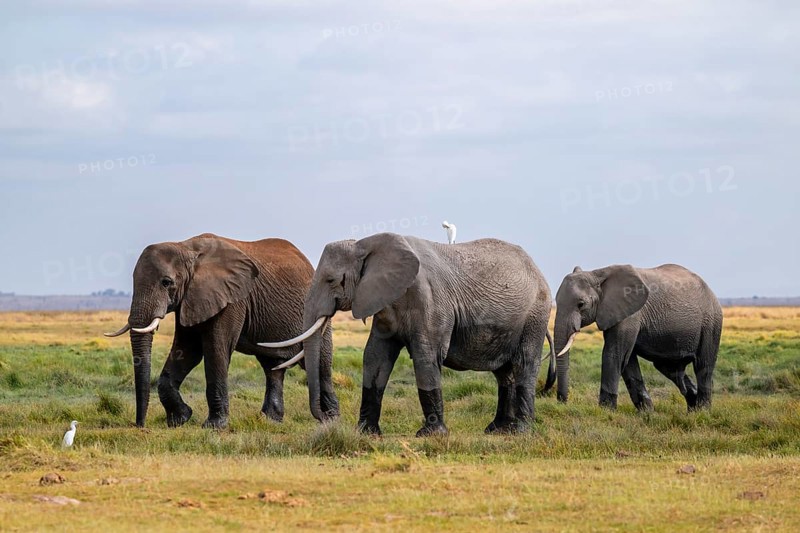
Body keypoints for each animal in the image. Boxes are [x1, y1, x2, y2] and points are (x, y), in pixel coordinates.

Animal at [104, 233, 338, 428]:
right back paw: (271, 421)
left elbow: (216, 350)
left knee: (319, 365)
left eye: (166, 282)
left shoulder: (232, 299)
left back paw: (331, 420)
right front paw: (180, 419)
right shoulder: (191, 298)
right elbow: (187, 350)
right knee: (273, 367)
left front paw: (214, 426)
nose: (139, 425)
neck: (186, 247)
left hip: (319, 315)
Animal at [261, 233, 555, 436]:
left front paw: (430, 435)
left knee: (524, 364)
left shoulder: (429, 299)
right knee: (503, 373)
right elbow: (375, 357)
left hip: (535, 314)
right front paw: (366, 433)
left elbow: (426, 357)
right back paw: (496, 430)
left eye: (332, 280)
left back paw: (520, 432)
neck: (366, 244)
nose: (326, 418)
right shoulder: (382, 301)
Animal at [544, 264, 722, 411]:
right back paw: (692, 409)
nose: (562, 401)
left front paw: (605, 411)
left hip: (711, 323)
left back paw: (703, 412)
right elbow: (627, 360)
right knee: (668, 368)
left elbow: (614, 354)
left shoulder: (631, 315)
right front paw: (647, 413)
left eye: (581, 304)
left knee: (703, 365)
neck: (597, 274)